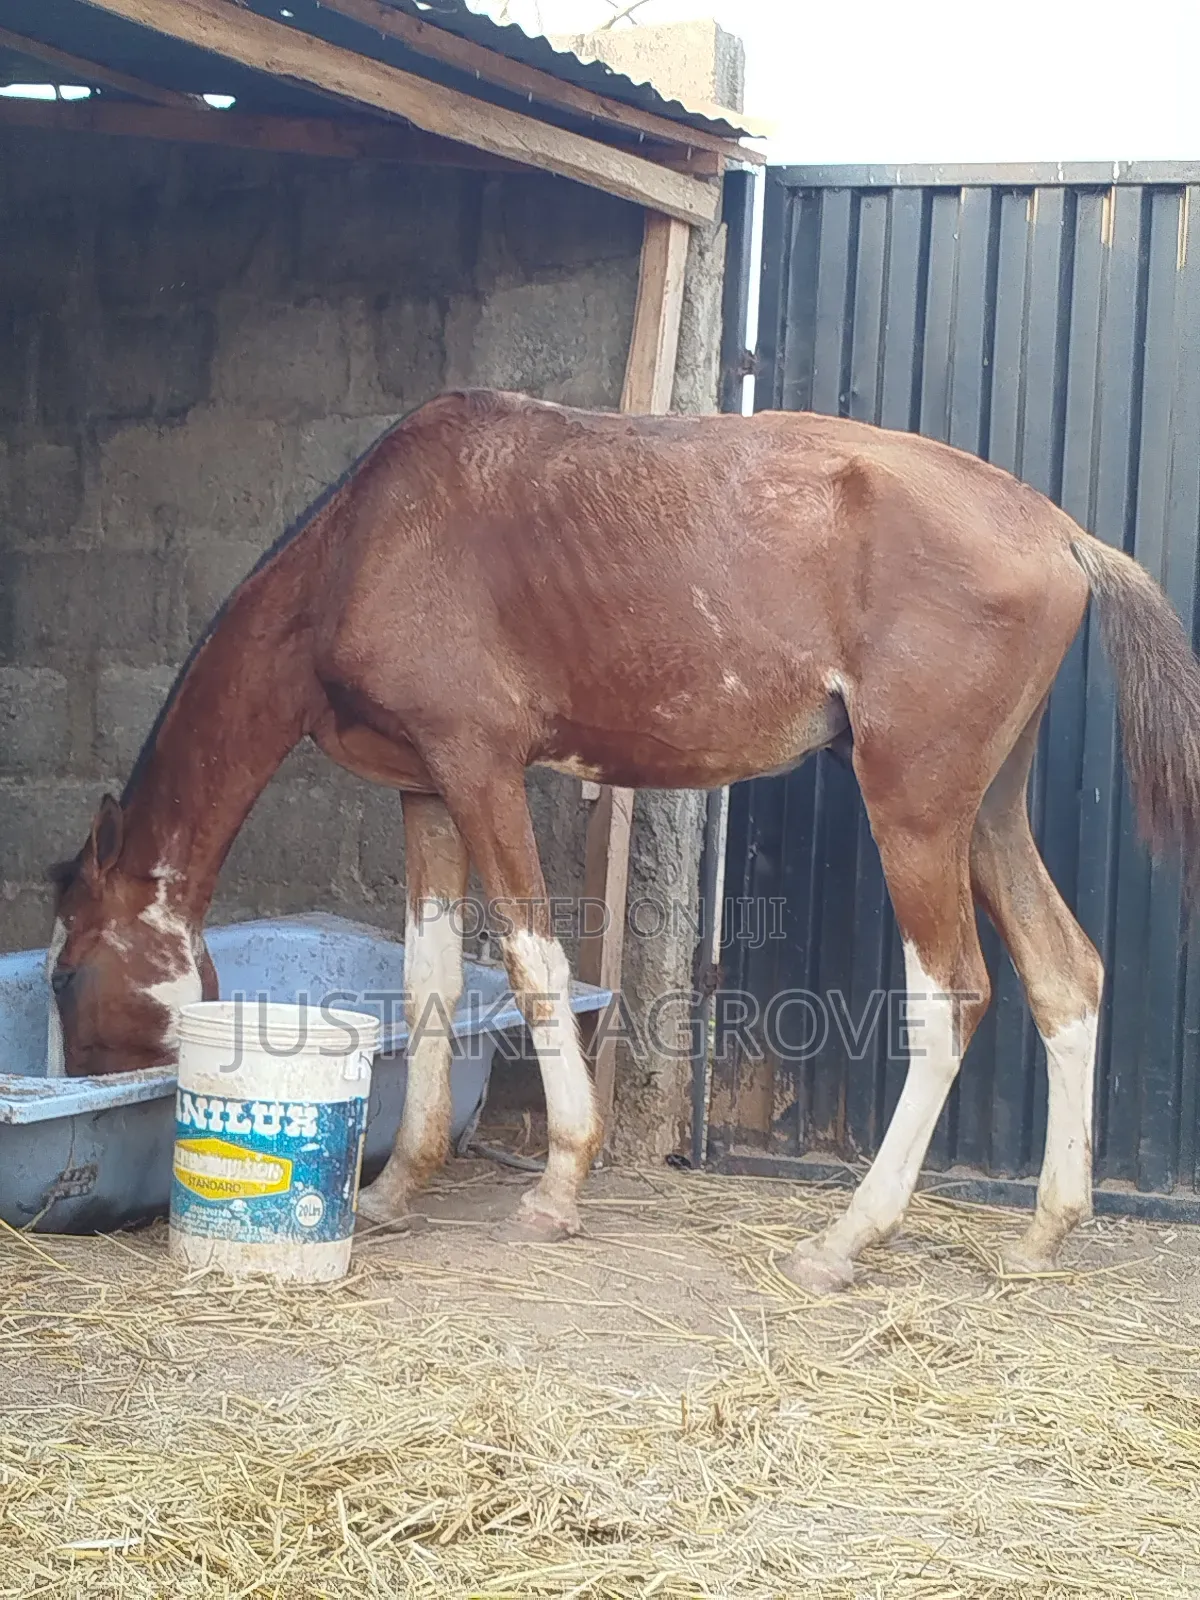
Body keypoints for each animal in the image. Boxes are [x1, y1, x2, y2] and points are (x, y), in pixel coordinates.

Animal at [46, 388, 1200, 1293]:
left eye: (61, 974)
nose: (84, 1083)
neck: (366, 543)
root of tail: (1061, 532)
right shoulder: (426, 790)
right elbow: (428, 978)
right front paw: (397, 1184)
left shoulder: (481, 768)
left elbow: (532, 961)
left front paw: (559, 1185)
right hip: (987, 808)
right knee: (1065, 975)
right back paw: (1045, 1232)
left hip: (914, 805)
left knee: (954, 994)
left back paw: (845, 1239)